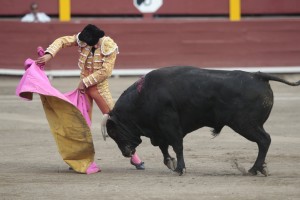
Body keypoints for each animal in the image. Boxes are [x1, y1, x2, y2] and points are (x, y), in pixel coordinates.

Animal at [102, 65, 298, 175]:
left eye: (115, 133)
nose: (126, 153)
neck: (143, 96)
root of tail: (258, 75)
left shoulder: (169, 125)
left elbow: (177, 145)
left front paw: (180, 168)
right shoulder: (159, 130)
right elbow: (164, 147)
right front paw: (171, 163)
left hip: (245, 124)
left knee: (264, 140)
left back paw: (254, 169)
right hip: (249, 124)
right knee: (264, 141)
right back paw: (261, 168)